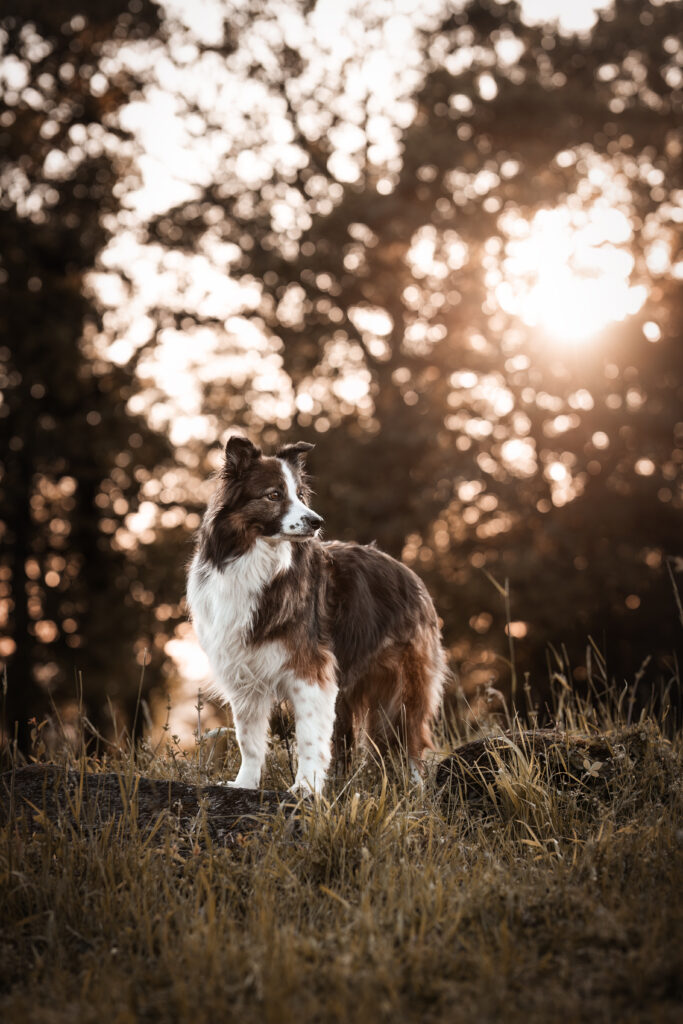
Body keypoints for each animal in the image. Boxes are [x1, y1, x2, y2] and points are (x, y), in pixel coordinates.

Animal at [184, 436, 446, 794]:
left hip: (404, 686)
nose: (316, 522)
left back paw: (414, 788)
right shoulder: (244, 674)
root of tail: (409, 573)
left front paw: (306, 788)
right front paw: (245, 784)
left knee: (410, 740)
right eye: (274, 495)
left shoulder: (310, 671)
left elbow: (309, 736)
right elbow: (248, 739)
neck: (256, 560)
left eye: (300, 495)